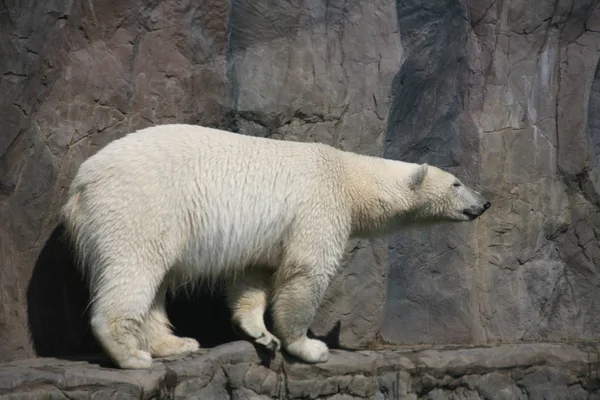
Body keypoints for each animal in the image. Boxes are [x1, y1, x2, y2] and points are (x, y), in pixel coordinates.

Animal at [62, 124, 492, 368]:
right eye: (457, 183)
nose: (484, 202)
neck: (348, 176)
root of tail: (80, 185)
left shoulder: (268, 237)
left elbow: (253, 279)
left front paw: (259, 333)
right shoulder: (319, 205)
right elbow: (306, 273)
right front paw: (309, 346)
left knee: (157, 281)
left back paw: (176, 343)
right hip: (140, 204)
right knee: (134, 268)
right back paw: (133, 356)